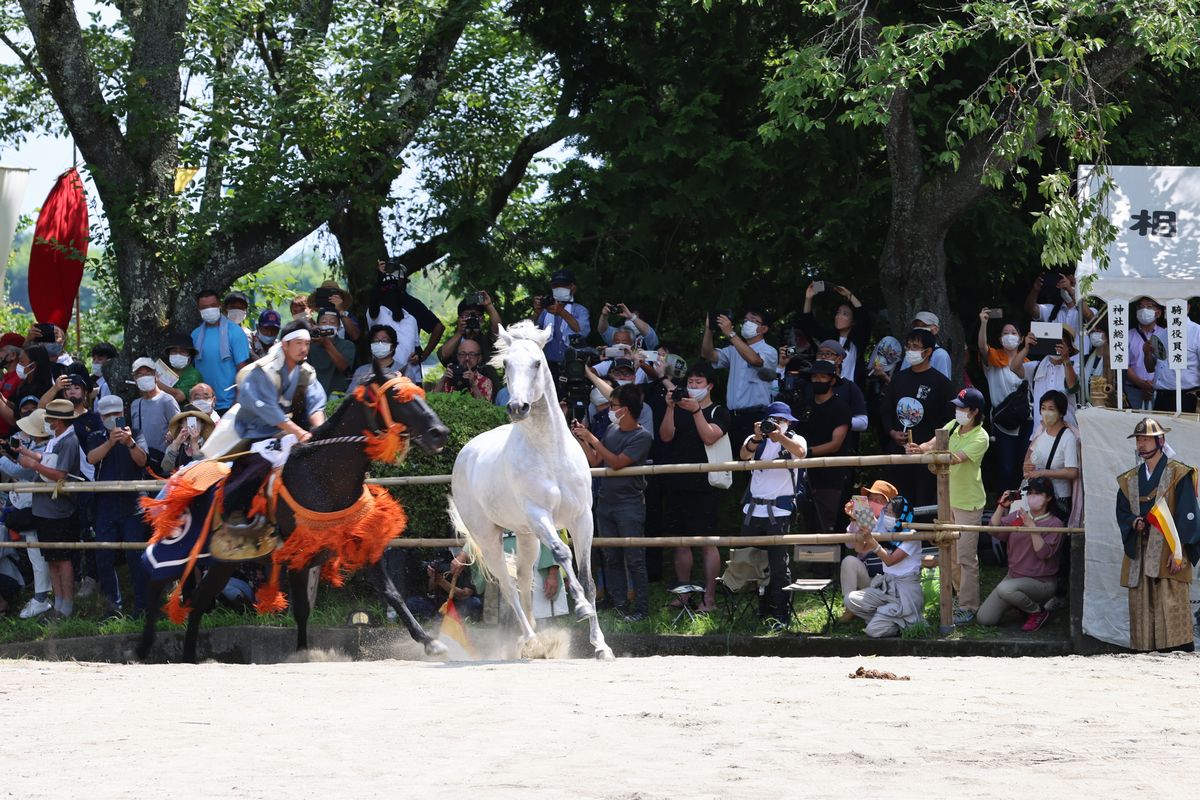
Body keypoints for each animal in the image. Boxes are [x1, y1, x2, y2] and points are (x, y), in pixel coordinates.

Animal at [132, 374, 451, 662]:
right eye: (397, 396)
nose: (439, 432)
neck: (324, 476)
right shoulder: (299, 555)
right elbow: (301, 610)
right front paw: (303, 652)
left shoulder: (357, 545)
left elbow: (390, 592)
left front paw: (429, 641)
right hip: (186, 545)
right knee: (155, 576)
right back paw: (143, 647)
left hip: (223, 561)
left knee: (197, 601)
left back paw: (188, 656)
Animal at [451, 321, 619, 662]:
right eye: (506, 364)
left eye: (537, 363)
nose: (517, 407)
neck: (550, 453)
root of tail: (466, 452)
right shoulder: (540, 515)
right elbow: (561, 553)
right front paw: (581, 607)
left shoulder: (582, 519)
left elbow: (588, 579)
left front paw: (601, 646)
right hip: (489, 536)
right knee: (508, 585)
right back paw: (531, 640)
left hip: (525, 536)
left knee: (525, 578)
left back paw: (533, 642)